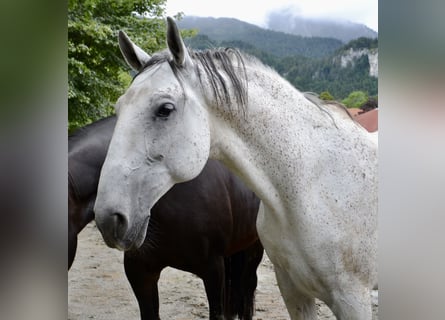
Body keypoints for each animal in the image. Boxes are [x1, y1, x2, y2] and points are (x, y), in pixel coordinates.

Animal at [95, 18, 376, 320]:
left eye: (165, 109)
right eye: (119, 108)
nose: (109, 218)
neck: (311, 188)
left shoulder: (352, 299)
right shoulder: (294, 291)